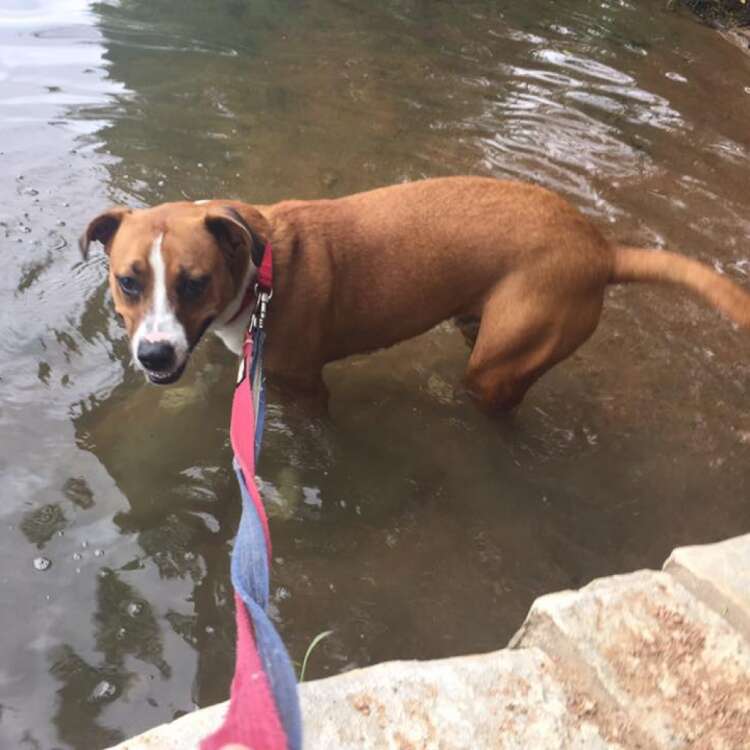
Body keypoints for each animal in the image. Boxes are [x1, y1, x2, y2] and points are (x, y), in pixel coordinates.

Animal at [81, 176, 750, 412]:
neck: (261, 269)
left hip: (501, 362)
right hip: (483, 327)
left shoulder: (306, 387)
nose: (155, 354)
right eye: (128, 281)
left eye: (194, 283)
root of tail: (600, 248)